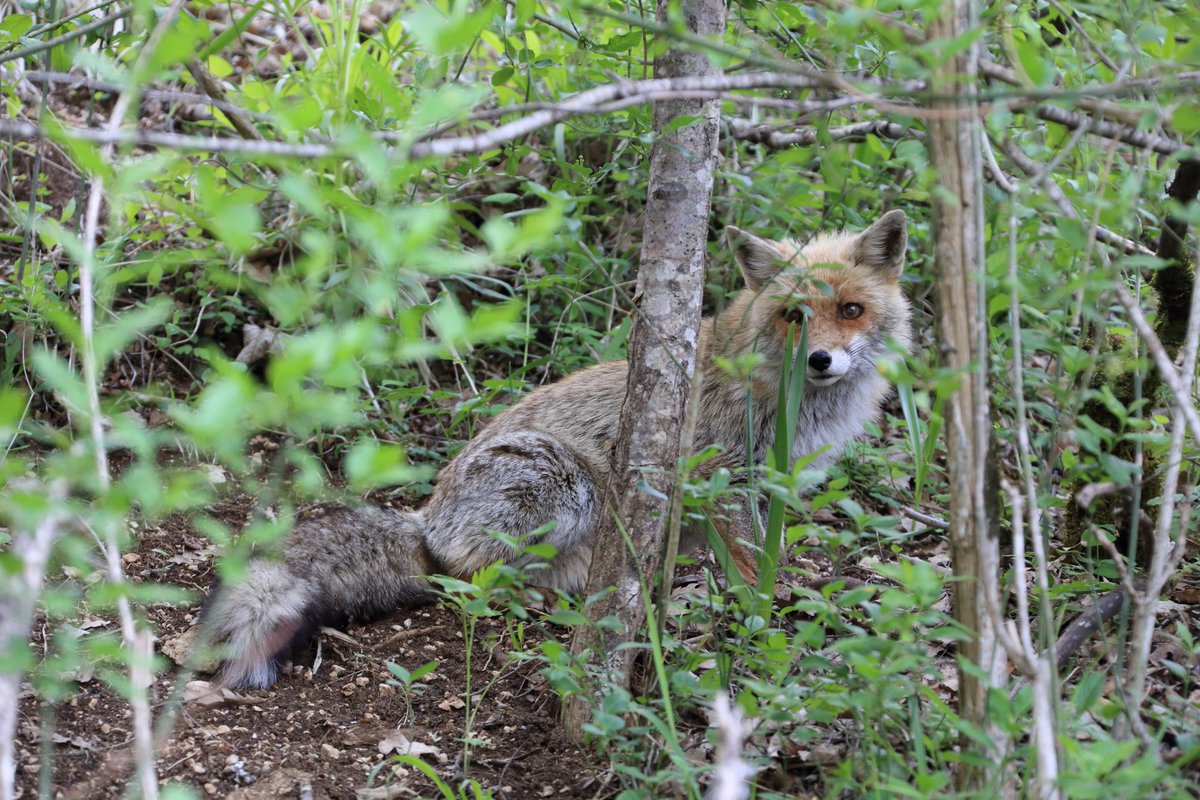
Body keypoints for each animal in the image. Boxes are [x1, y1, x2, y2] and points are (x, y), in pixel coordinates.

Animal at [203, 210, 912, 690]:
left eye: (851, 310)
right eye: (795, 316)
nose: (821, 361)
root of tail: (426, 517)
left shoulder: (768, 488)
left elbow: (769, 555)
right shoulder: (724, 481)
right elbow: (749, 568)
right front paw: (764, 618)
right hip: (563, 484)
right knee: (468, 579)